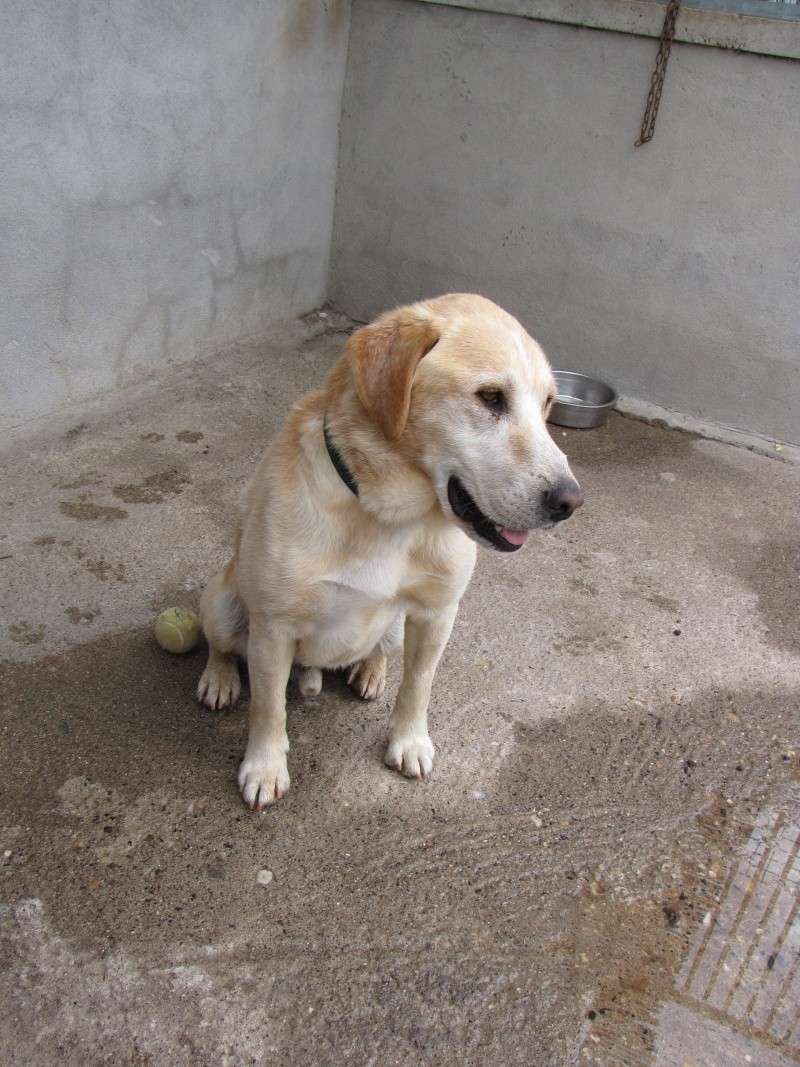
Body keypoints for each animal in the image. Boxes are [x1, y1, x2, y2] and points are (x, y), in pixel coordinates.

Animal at [194, 292, 584, 806]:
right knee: (221, 646)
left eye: (548, 405)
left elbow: (418, 685)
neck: (391, 518)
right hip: (223, 602)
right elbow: (268, 708)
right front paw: (264, 767)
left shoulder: (437, 614)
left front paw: (409, 741)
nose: (570, 502)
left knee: (378, 648)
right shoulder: (274, 630)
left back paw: (370, 670)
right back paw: (219, 679)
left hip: (397, 627)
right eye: (490, 397)